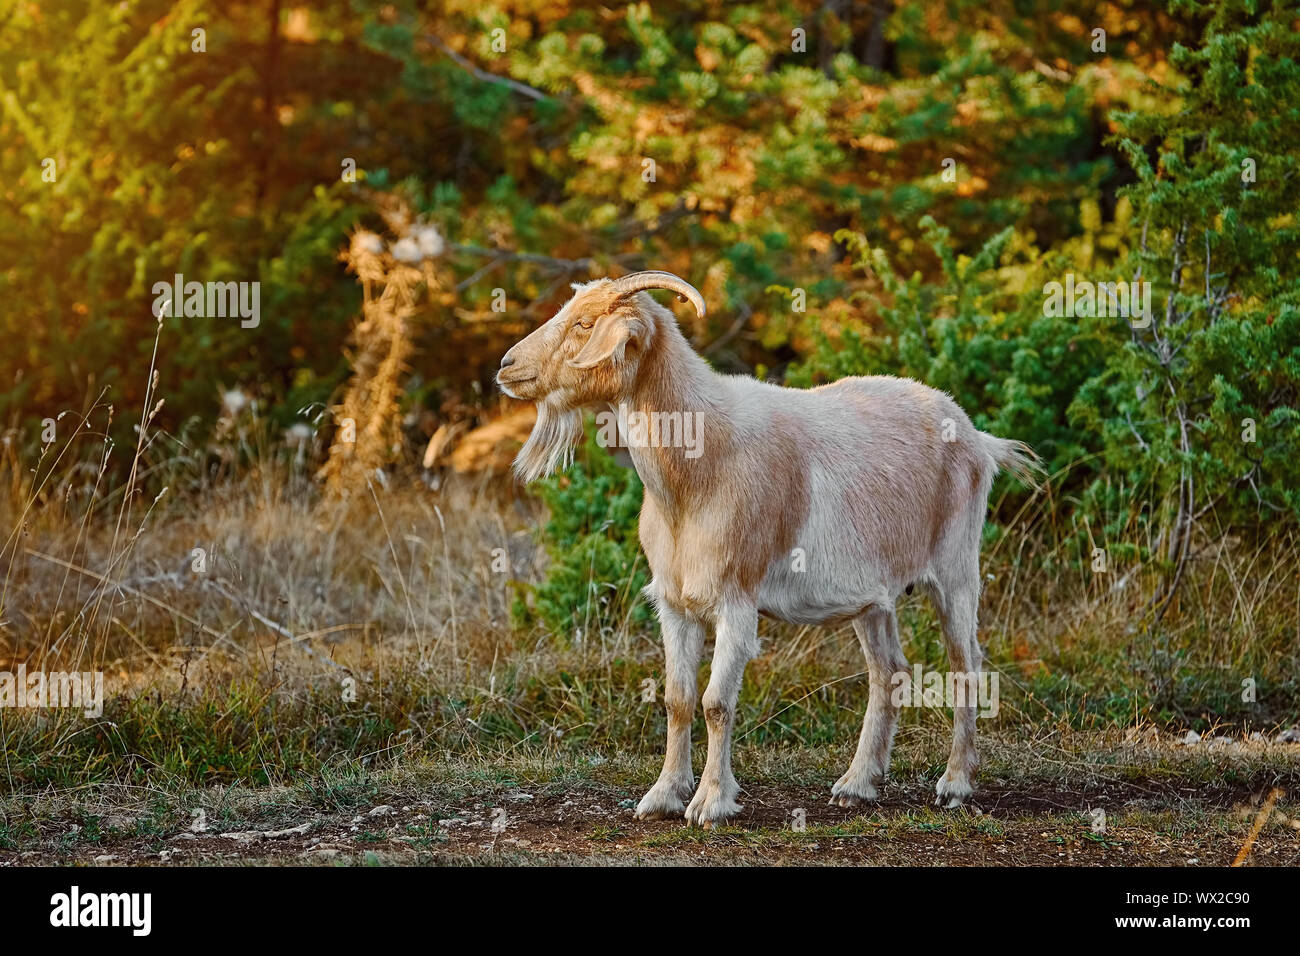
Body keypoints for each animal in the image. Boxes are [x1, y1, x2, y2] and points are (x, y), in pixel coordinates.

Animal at [491, 273, 1040, 827]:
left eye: (585, 323)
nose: (507, 365)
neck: (694, 470)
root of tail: (979, 438)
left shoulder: (737, 598)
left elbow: (715, 703)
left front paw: (710, 802)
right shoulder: (674, 602)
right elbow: (676, 699)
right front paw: (663, 796)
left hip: (956, 569)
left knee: (966, 664)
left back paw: (955, 784)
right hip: (874, 597)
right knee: (890, 672)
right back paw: (856, 785)